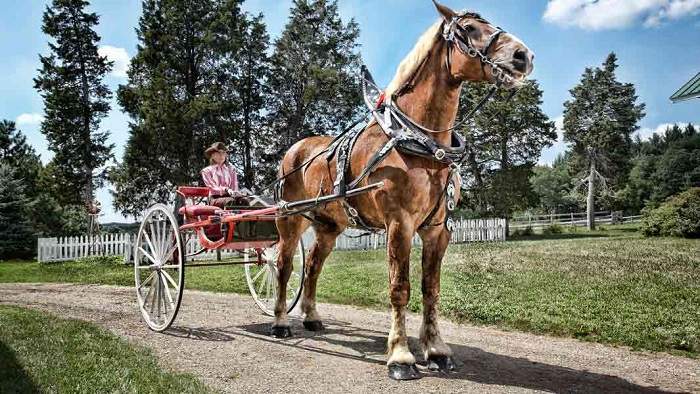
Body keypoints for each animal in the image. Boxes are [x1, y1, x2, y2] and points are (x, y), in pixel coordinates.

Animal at [270, 0, 532, 382]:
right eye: (468, 29)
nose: (523, 56)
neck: (419, 143)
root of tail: (295, 150)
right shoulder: (399, 223)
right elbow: (400, 288)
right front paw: (401, 356)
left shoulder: (438, 229)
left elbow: (430, 288)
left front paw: (436, 350)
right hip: (290, 220)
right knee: (285, 266)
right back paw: (280, 322)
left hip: (328, 226)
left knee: (313, 268)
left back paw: (312, 317)